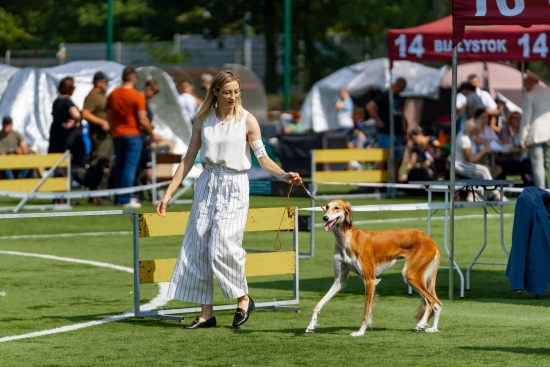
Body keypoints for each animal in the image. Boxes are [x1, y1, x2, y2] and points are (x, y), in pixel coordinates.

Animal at [306, 201, 444, 336]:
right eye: (327, 207)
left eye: (336, 207)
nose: (325, 218)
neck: (347, 239)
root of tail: (430, 239)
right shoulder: (339, 281)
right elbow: (318, 304)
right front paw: (311, 326)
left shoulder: (369, 280)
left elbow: (366, 312)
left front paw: (360, 332)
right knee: (437, 303)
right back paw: (433, 328)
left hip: (410, 275)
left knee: (431, 301)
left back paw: (421, 324)